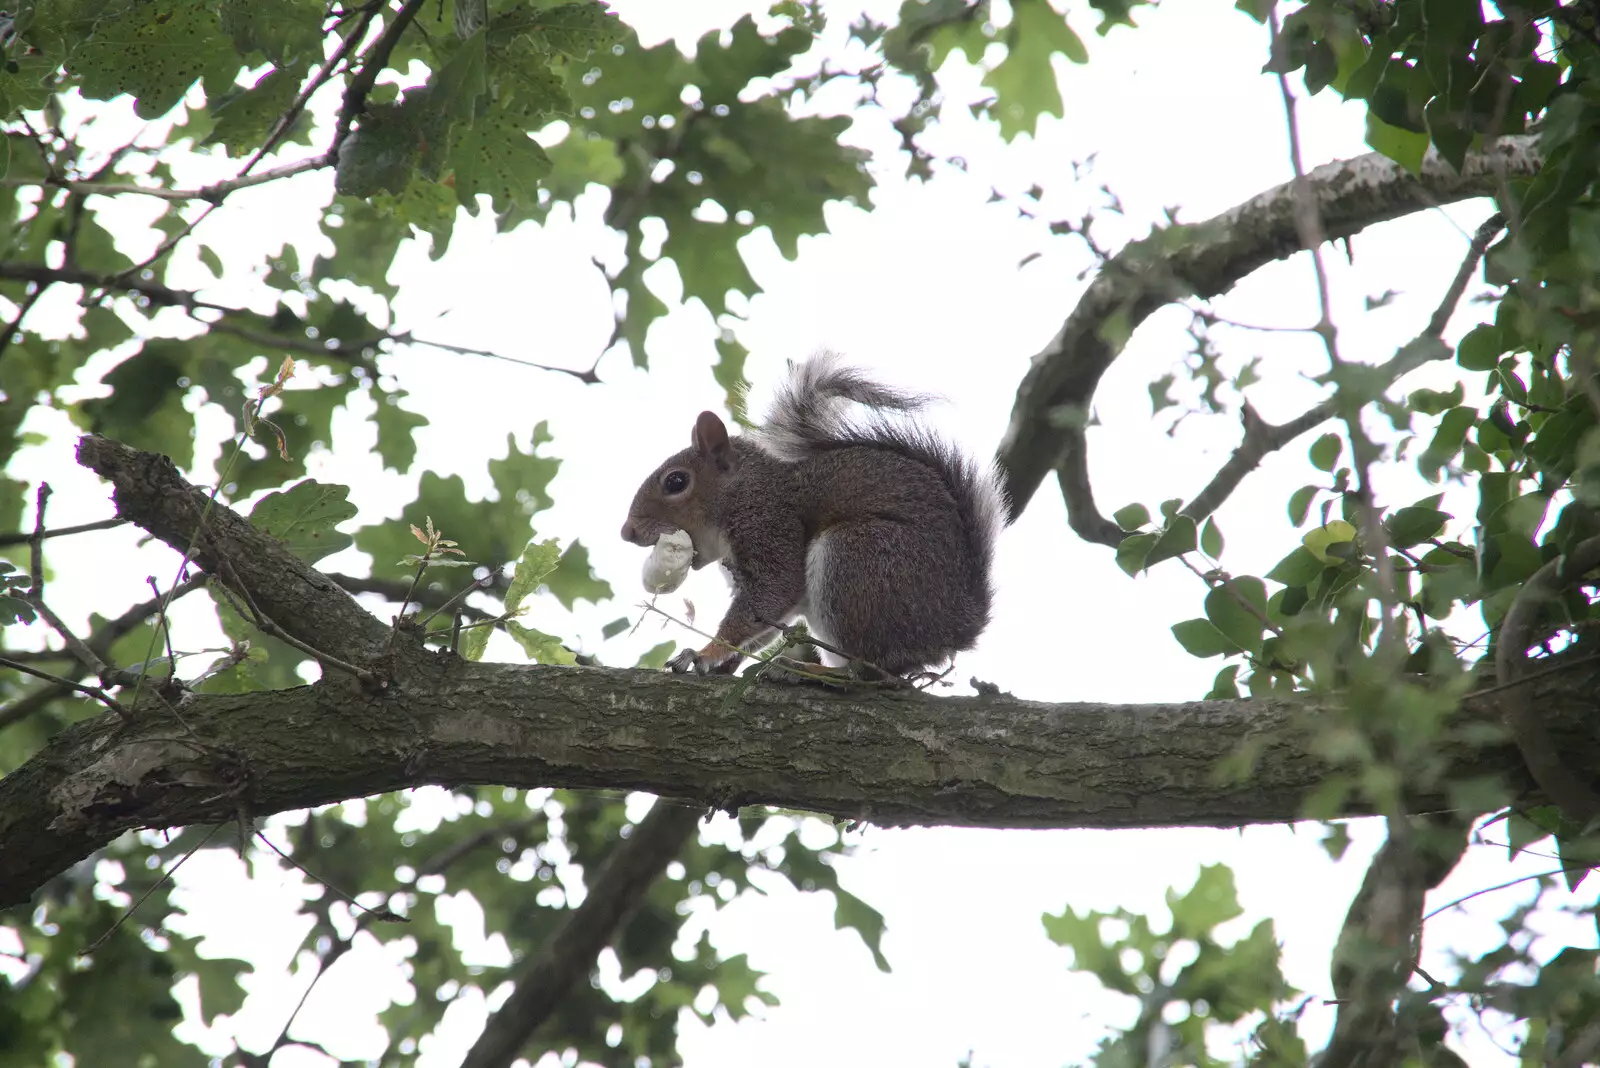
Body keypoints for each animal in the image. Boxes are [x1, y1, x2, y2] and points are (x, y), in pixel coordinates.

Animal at [617, 351, 1004, 674]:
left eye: (676, 482)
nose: (627, 532)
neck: (743, 492)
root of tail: (954, 629)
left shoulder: (771, 526)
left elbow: (769, 597)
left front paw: (704, 654)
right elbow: (763, 624)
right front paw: (724, 663)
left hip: (858, 560)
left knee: (870, 670)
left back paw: (810, 671)